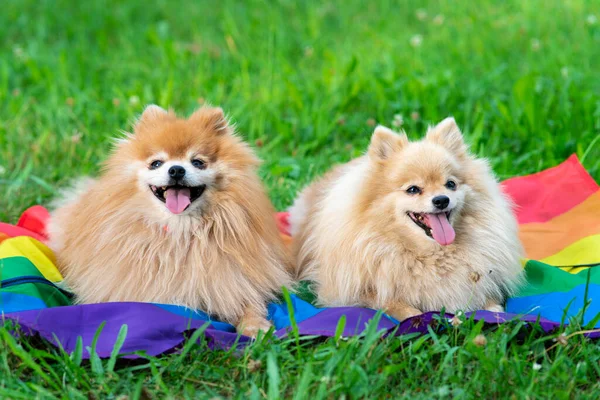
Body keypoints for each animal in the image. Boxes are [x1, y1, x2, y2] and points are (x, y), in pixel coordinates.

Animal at [48, 104, 292, 336]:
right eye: (156, 163)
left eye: (198, 162)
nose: (176, 170)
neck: (181, 229)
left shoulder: (234, 280)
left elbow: (247, 302)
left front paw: (256, 327)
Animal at [290, 117, 524, 320]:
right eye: (413, 189)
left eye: (451, 184)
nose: (441, 200)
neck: (431, 253)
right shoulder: (354, 291)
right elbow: (394, 305)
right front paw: (417, 317)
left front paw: (493, 311)